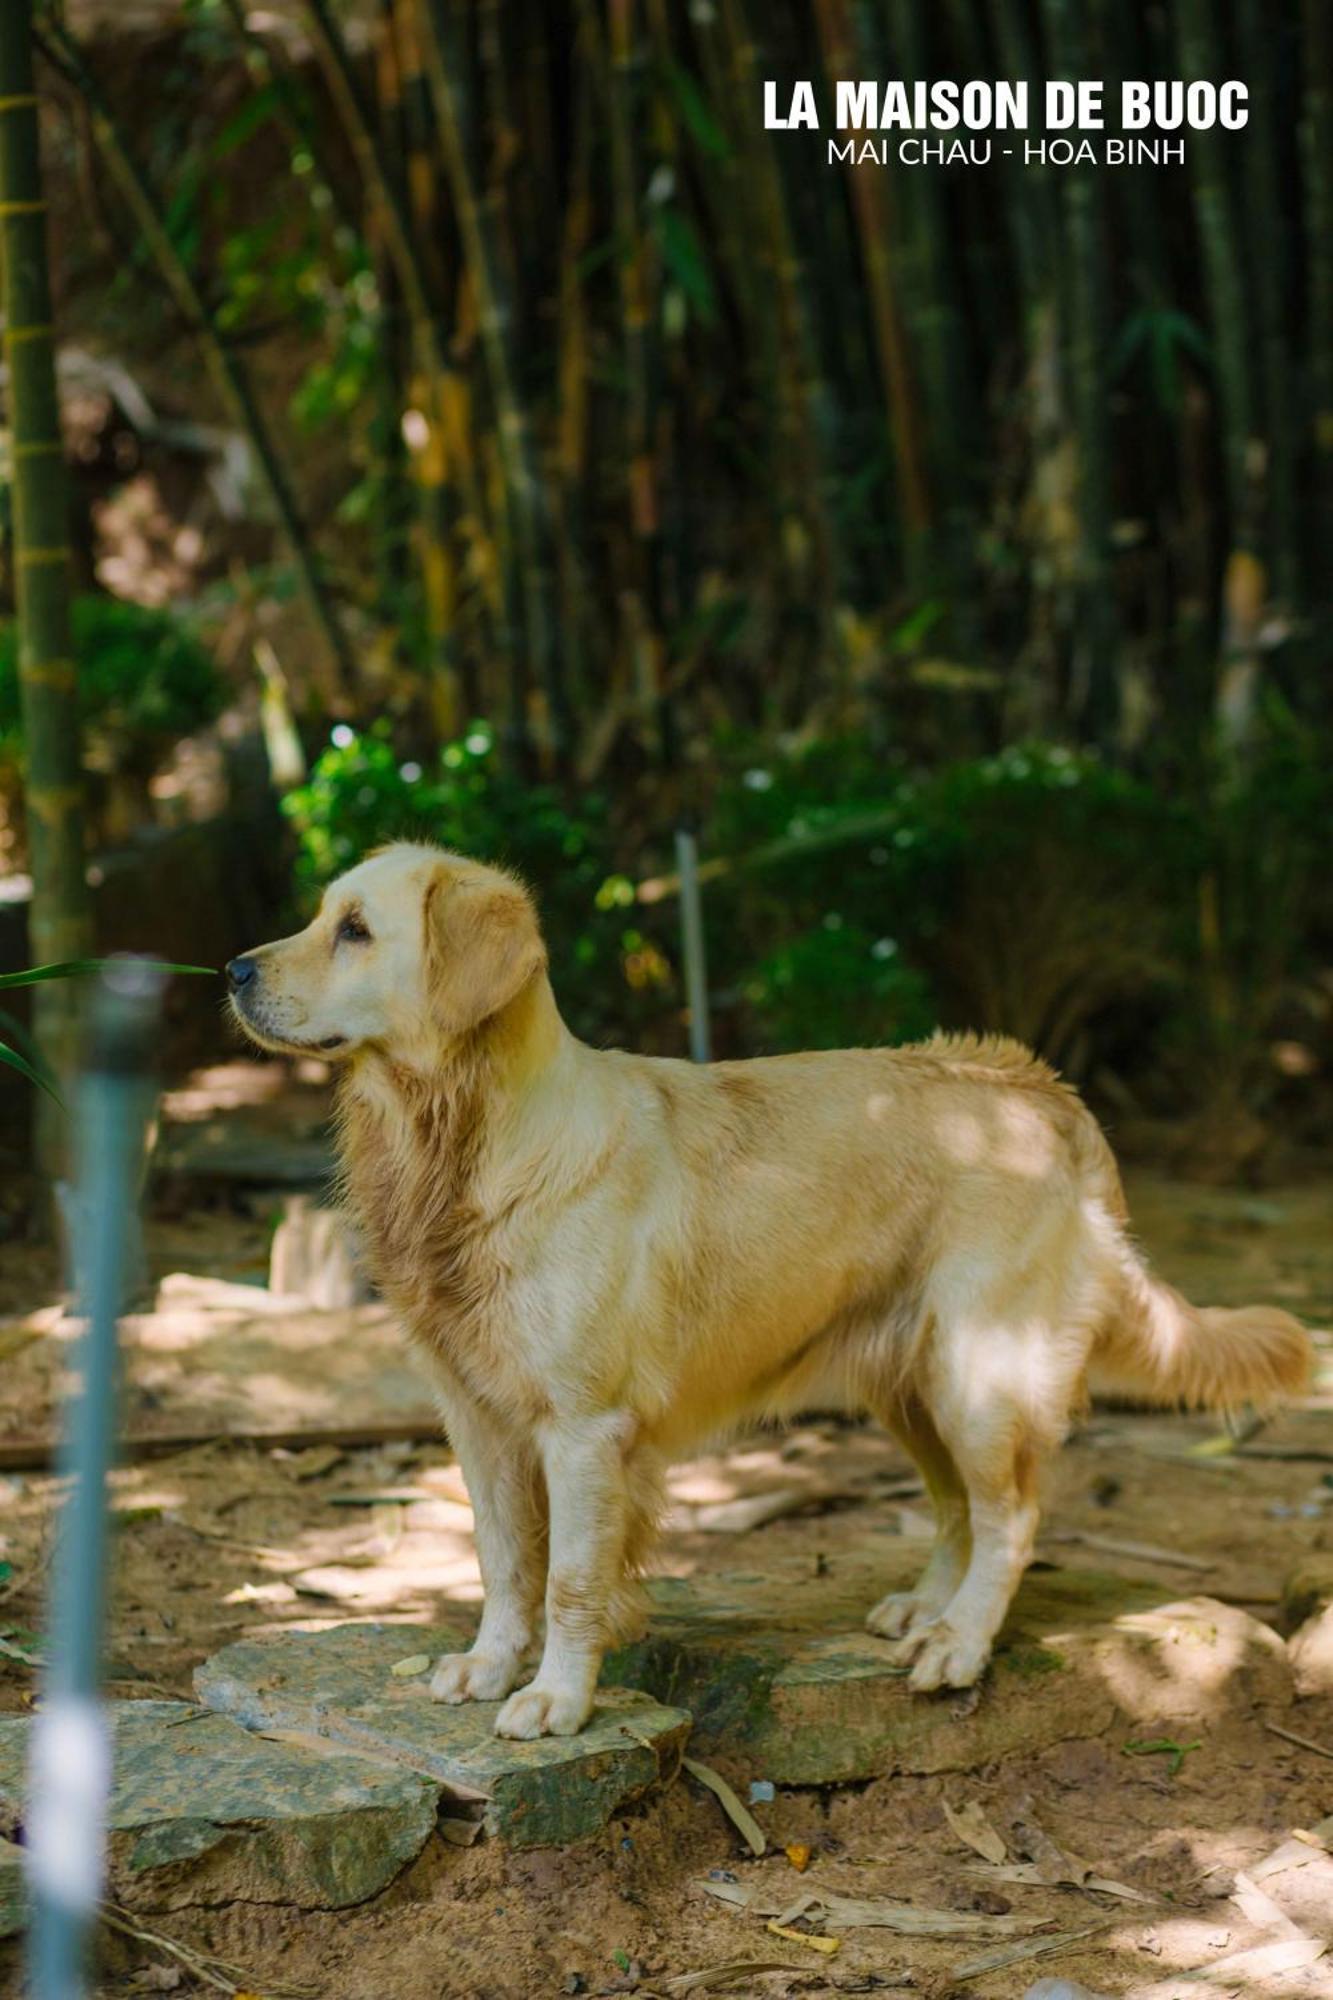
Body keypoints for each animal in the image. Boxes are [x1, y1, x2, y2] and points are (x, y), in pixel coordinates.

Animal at [226, 840, 1296, 1736]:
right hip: (906, 1384)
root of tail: (1040, 1086)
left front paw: (556, 1699)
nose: (233, 971)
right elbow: (501, 1557)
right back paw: (925, 1607)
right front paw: (487, 1667)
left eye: (355, 929)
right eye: (323, 914)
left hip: (978, 1376)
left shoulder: (582, 1429)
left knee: (1012, 1515)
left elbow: (569, 1577)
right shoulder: (476, 1415)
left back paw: (957, 1642)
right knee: (957, 1505)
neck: (466, 1138)